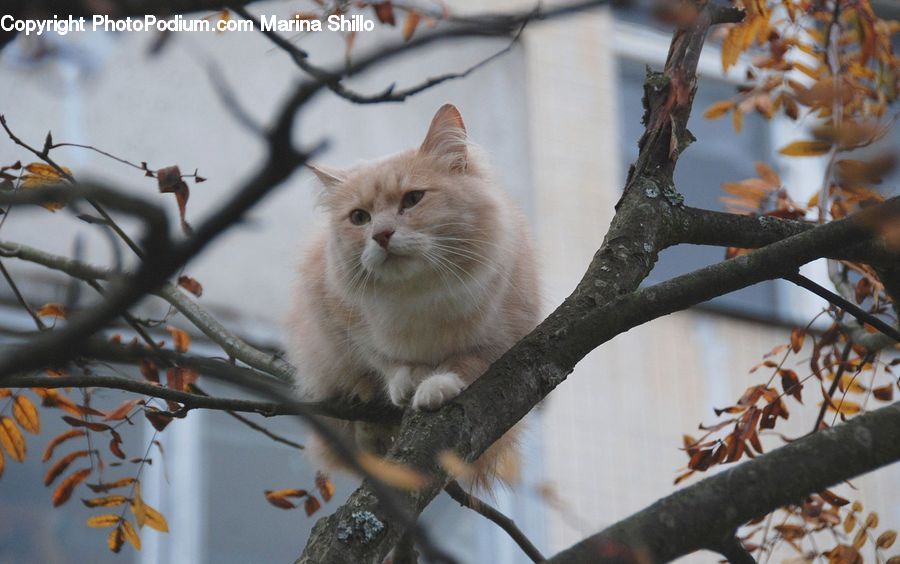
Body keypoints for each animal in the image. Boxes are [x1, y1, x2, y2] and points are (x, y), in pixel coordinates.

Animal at [286, 106, 540, 490]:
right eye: (360, 218)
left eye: (412, 199)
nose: (381, 234)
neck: (416, 293)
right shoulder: (336, 315)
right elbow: (383, 360)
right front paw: (405, 382)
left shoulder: (509, 336)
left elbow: (468, 362)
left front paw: (435, 385)